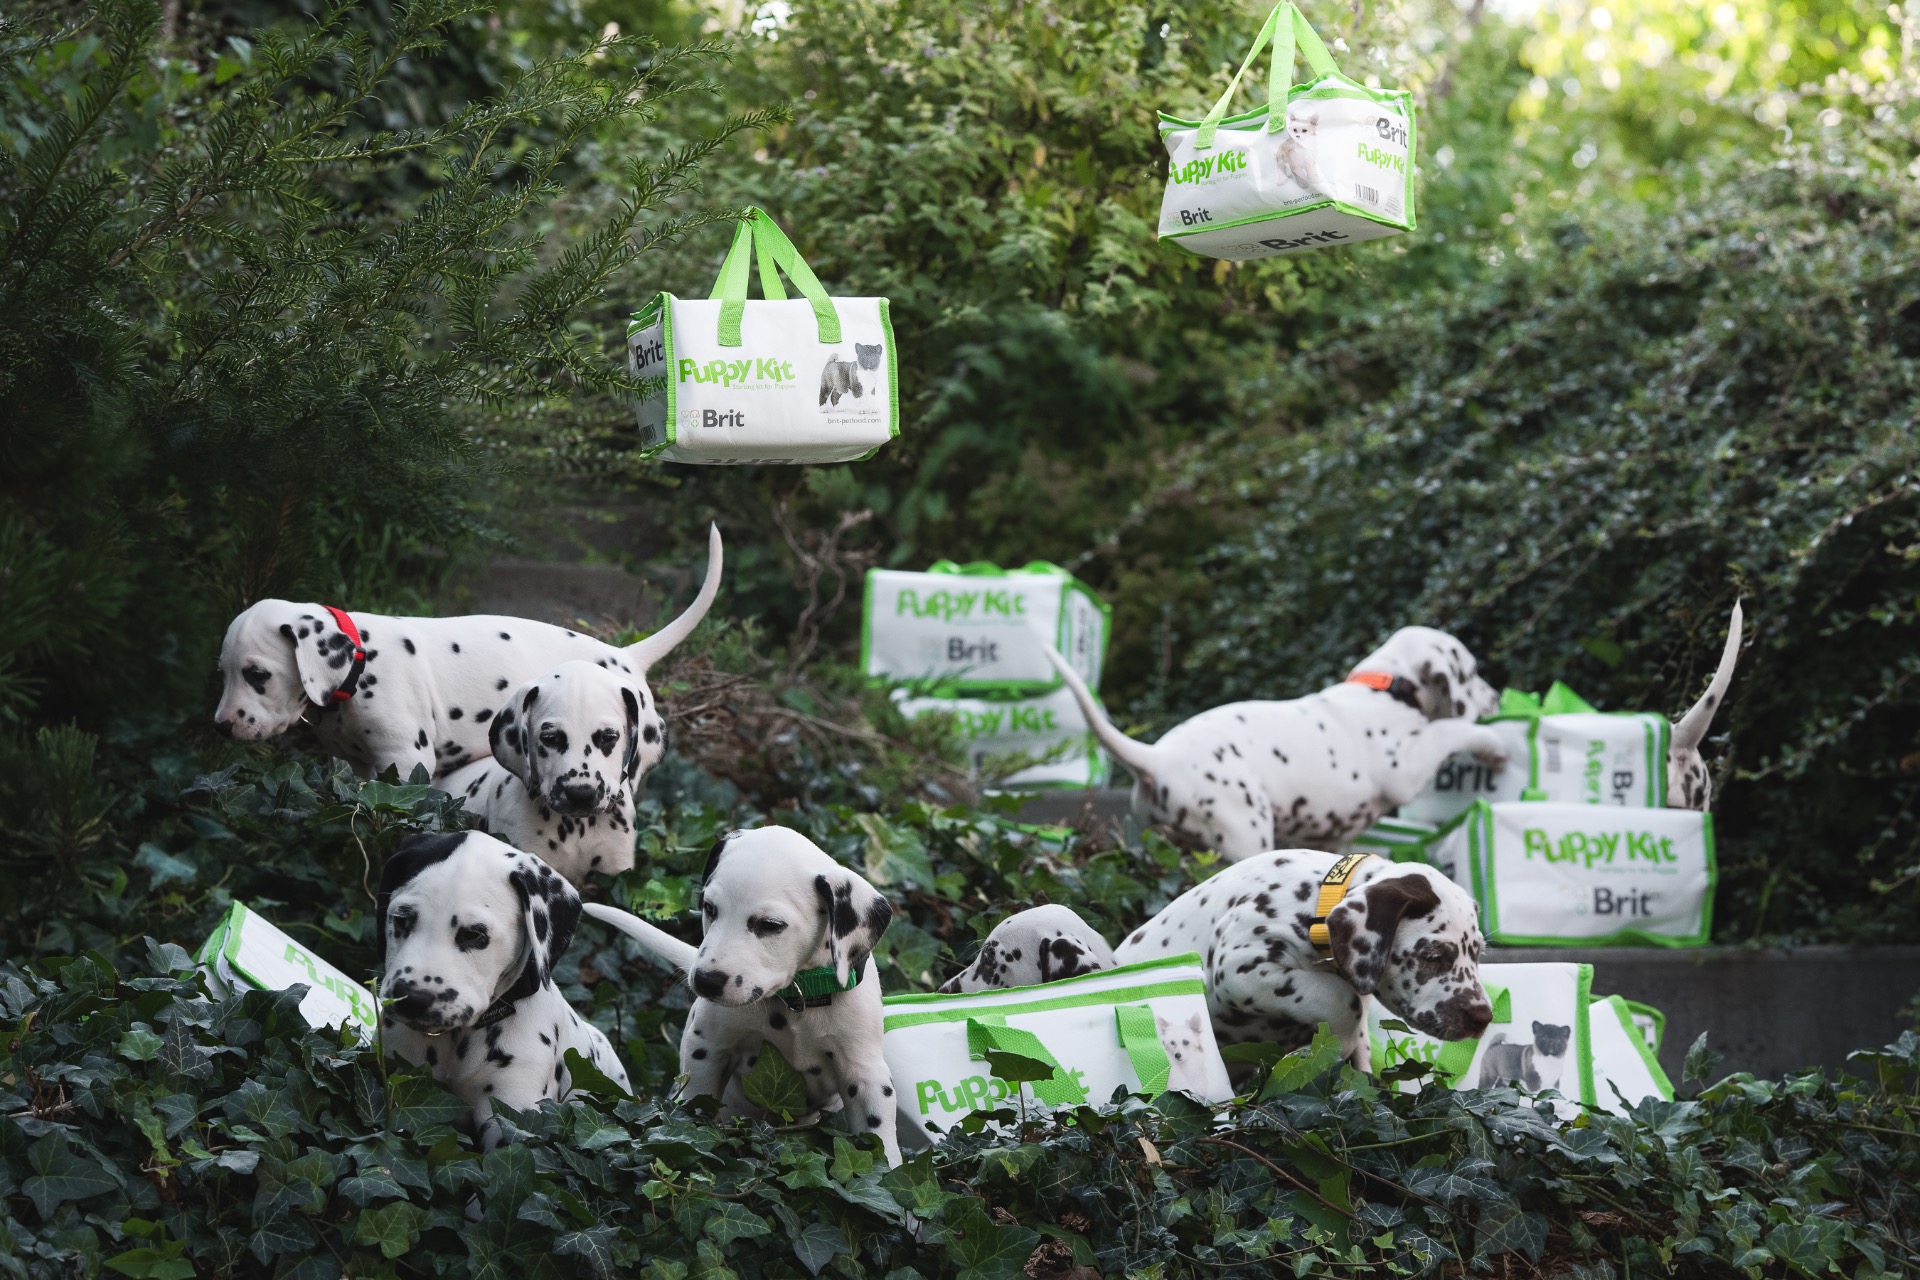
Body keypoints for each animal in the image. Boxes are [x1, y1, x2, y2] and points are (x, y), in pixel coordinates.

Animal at [213, 525, 721, 780]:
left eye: (257, 674)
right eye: (224, 672)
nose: (220, 727)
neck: (359, 667)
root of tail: (626, 655)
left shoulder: (406, 762)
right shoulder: (361, 766)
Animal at [583, 827, 902, 1163]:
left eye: (770, 925)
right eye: (709, 908)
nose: (705, 981)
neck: (796, 998)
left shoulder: (865, 1076)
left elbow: (880, 1141)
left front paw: (888, 1168)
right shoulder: (707, 1049)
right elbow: (698, 1103)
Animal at [1049, 627, 1507, 861]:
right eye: (1472, 672)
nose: (1496, 696)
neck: (1385, 689)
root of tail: (1156, 758)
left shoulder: (1330, 837)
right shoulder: (1405, 768)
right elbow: (1448, 731)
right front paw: (1494, 746)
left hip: (1172, 845)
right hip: (1244, 829)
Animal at [1114, 850, 1492, 1071]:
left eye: (1478, 953)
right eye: (1433, 956)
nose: (1483, 1017)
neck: (1315, 905)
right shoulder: (1240, 968)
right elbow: (1341, 1000)